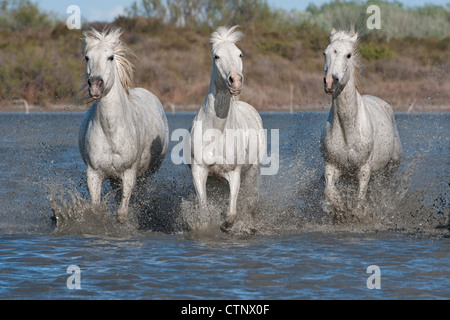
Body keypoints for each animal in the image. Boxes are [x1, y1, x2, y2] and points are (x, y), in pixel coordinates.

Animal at [78, 28, 168, 222]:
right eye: (87, 57)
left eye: (110, 57)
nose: (95, 85)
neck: (112, 132)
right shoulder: (94, 174)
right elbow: (96, 210)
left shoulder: (128, 174)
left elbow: (122, 213)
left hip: (145, 175)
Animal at [191, 26, 268, 231]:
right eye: (216, 56)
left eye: (239, 54)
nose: (236, 81)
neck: (217, 132)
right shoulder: (199, 171)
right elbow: (204, 211)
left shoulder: (234, 174)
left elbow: (232, 212)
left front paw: (225, 226)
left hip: (251, 172)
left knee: (247, 200)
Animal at [322, 28, 402, 218]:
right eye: (325, 53)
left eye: (348, 55)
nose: (330, 82)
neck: (347, 130)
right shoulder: (330, 166)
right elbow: (329, 192)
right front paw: (338, 208)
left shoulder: (364, 171)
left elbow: (359, 202)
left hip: (390, 167)